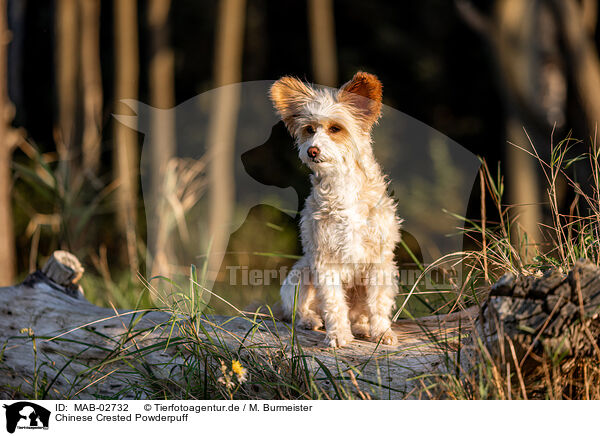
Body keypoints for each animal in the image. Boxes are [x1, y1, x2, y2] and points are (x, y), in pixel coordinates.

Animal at [270, 71, 404, 348]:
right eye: (309, 130)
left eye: (335, 129)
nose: (312, 150)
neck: (342, 184)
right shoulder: (323, 261)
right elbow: (333, 303)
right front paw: (338, 335)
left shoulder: (380, 262)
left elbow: (378, 303)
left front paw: (381, 332)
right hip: (299, 275)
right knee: (299, 309)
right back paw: (310, 320)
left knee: (361, 312)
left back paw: (362, 327)